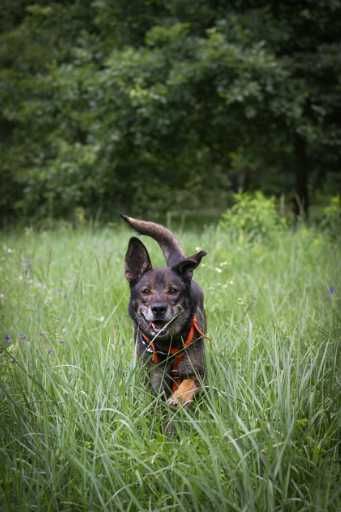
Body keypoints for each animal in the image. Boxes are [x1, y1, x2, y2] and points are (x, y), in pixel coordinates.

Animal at [122, 214, 207, 406]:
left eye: (173, 290)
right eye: (146, 291)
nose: (158, 309)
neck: (167, 346)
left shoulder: (198, 373)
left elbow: (188, 383)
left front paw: (178, 398)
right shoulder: (153, 379)